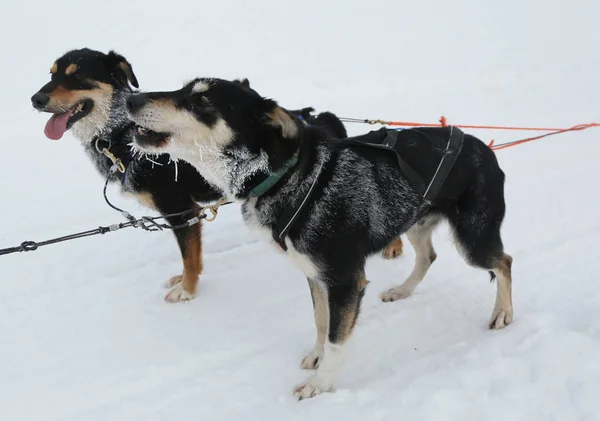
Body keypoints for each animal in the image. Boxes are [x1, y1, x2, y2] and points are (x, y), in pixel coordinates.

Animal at [30, 49, 390, 302]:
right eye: (51, 75)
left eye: (77, 76)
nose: (35, 98)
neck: (120, 135)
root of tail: (319, 117)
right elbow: (192, 256)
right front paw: (184, 281)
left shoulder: (180, 210)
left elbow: (189, 257)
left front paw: (187, 290)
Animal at [125, 78, 510, 398]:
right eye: (183, 87)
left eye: (202, 99)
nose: (130, 99)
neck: (285, 178)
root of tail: (483, 146)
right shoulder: (315, 275)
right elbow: (321, 322)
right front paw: (316, 355)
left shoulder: (345, 281)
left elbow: (337, 338)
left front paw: (320, 385)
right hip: (415, 222)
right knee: (428, 256)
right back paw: (403, 290)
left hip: (472, 241)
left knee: (503, 262)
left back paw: (503, 313)